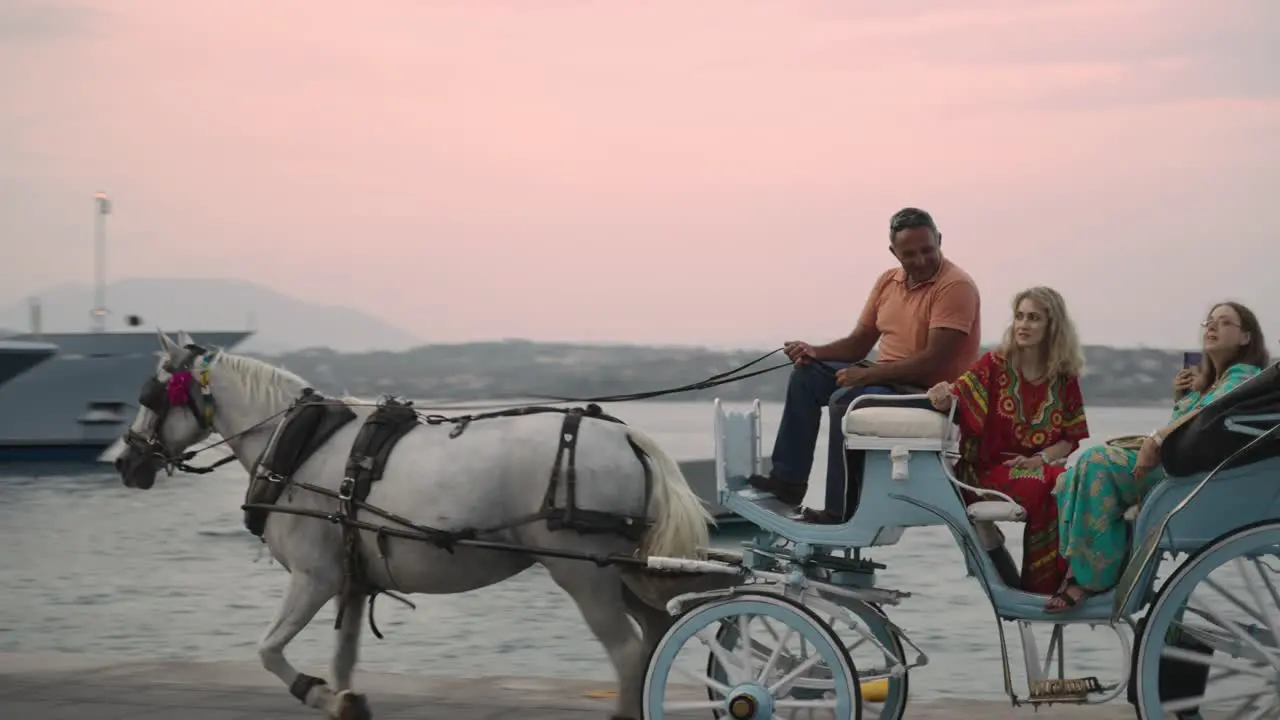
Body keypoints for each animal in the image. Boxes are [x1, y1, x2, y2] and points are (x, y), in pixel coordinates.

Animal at [113, 330, 716, 717]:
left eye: (150, 394)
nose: (126, 462)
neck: (298, 448)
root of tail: (625, 433)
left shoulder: (314, 577)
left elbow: (268, 650)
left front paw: (315, 692)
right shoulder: (353, 582)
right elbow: (344, 657)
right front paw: (345, 701)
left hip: (584, 572)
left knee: (629, 654)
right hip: (623, 568)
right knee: (657, 634)